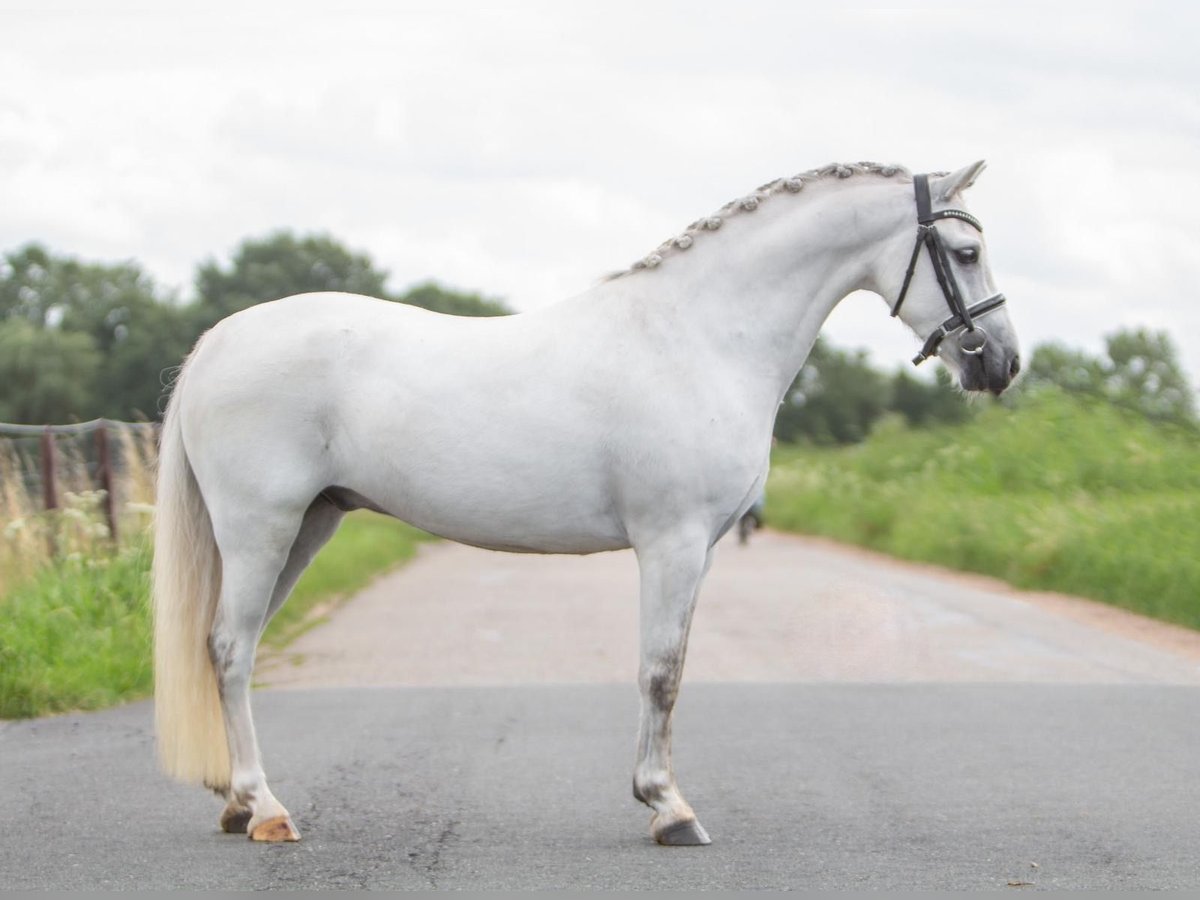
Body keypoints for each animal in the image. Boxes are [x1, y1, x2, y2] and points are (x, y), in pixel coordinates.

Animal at [152, 160, 1022, 844]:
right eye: (967, 251)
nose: (1002, 364)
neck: (698, 337)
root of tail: (218, 341)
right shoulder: (672, 542)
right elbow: (662, 672)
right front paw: (669, 809)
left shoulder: (695, 549)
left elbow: (666, 667)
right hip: (261, 530)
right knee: (230, 651)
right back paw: (266, 809)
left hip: (309, 527)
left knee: (231, 647)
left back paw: (238, 804)